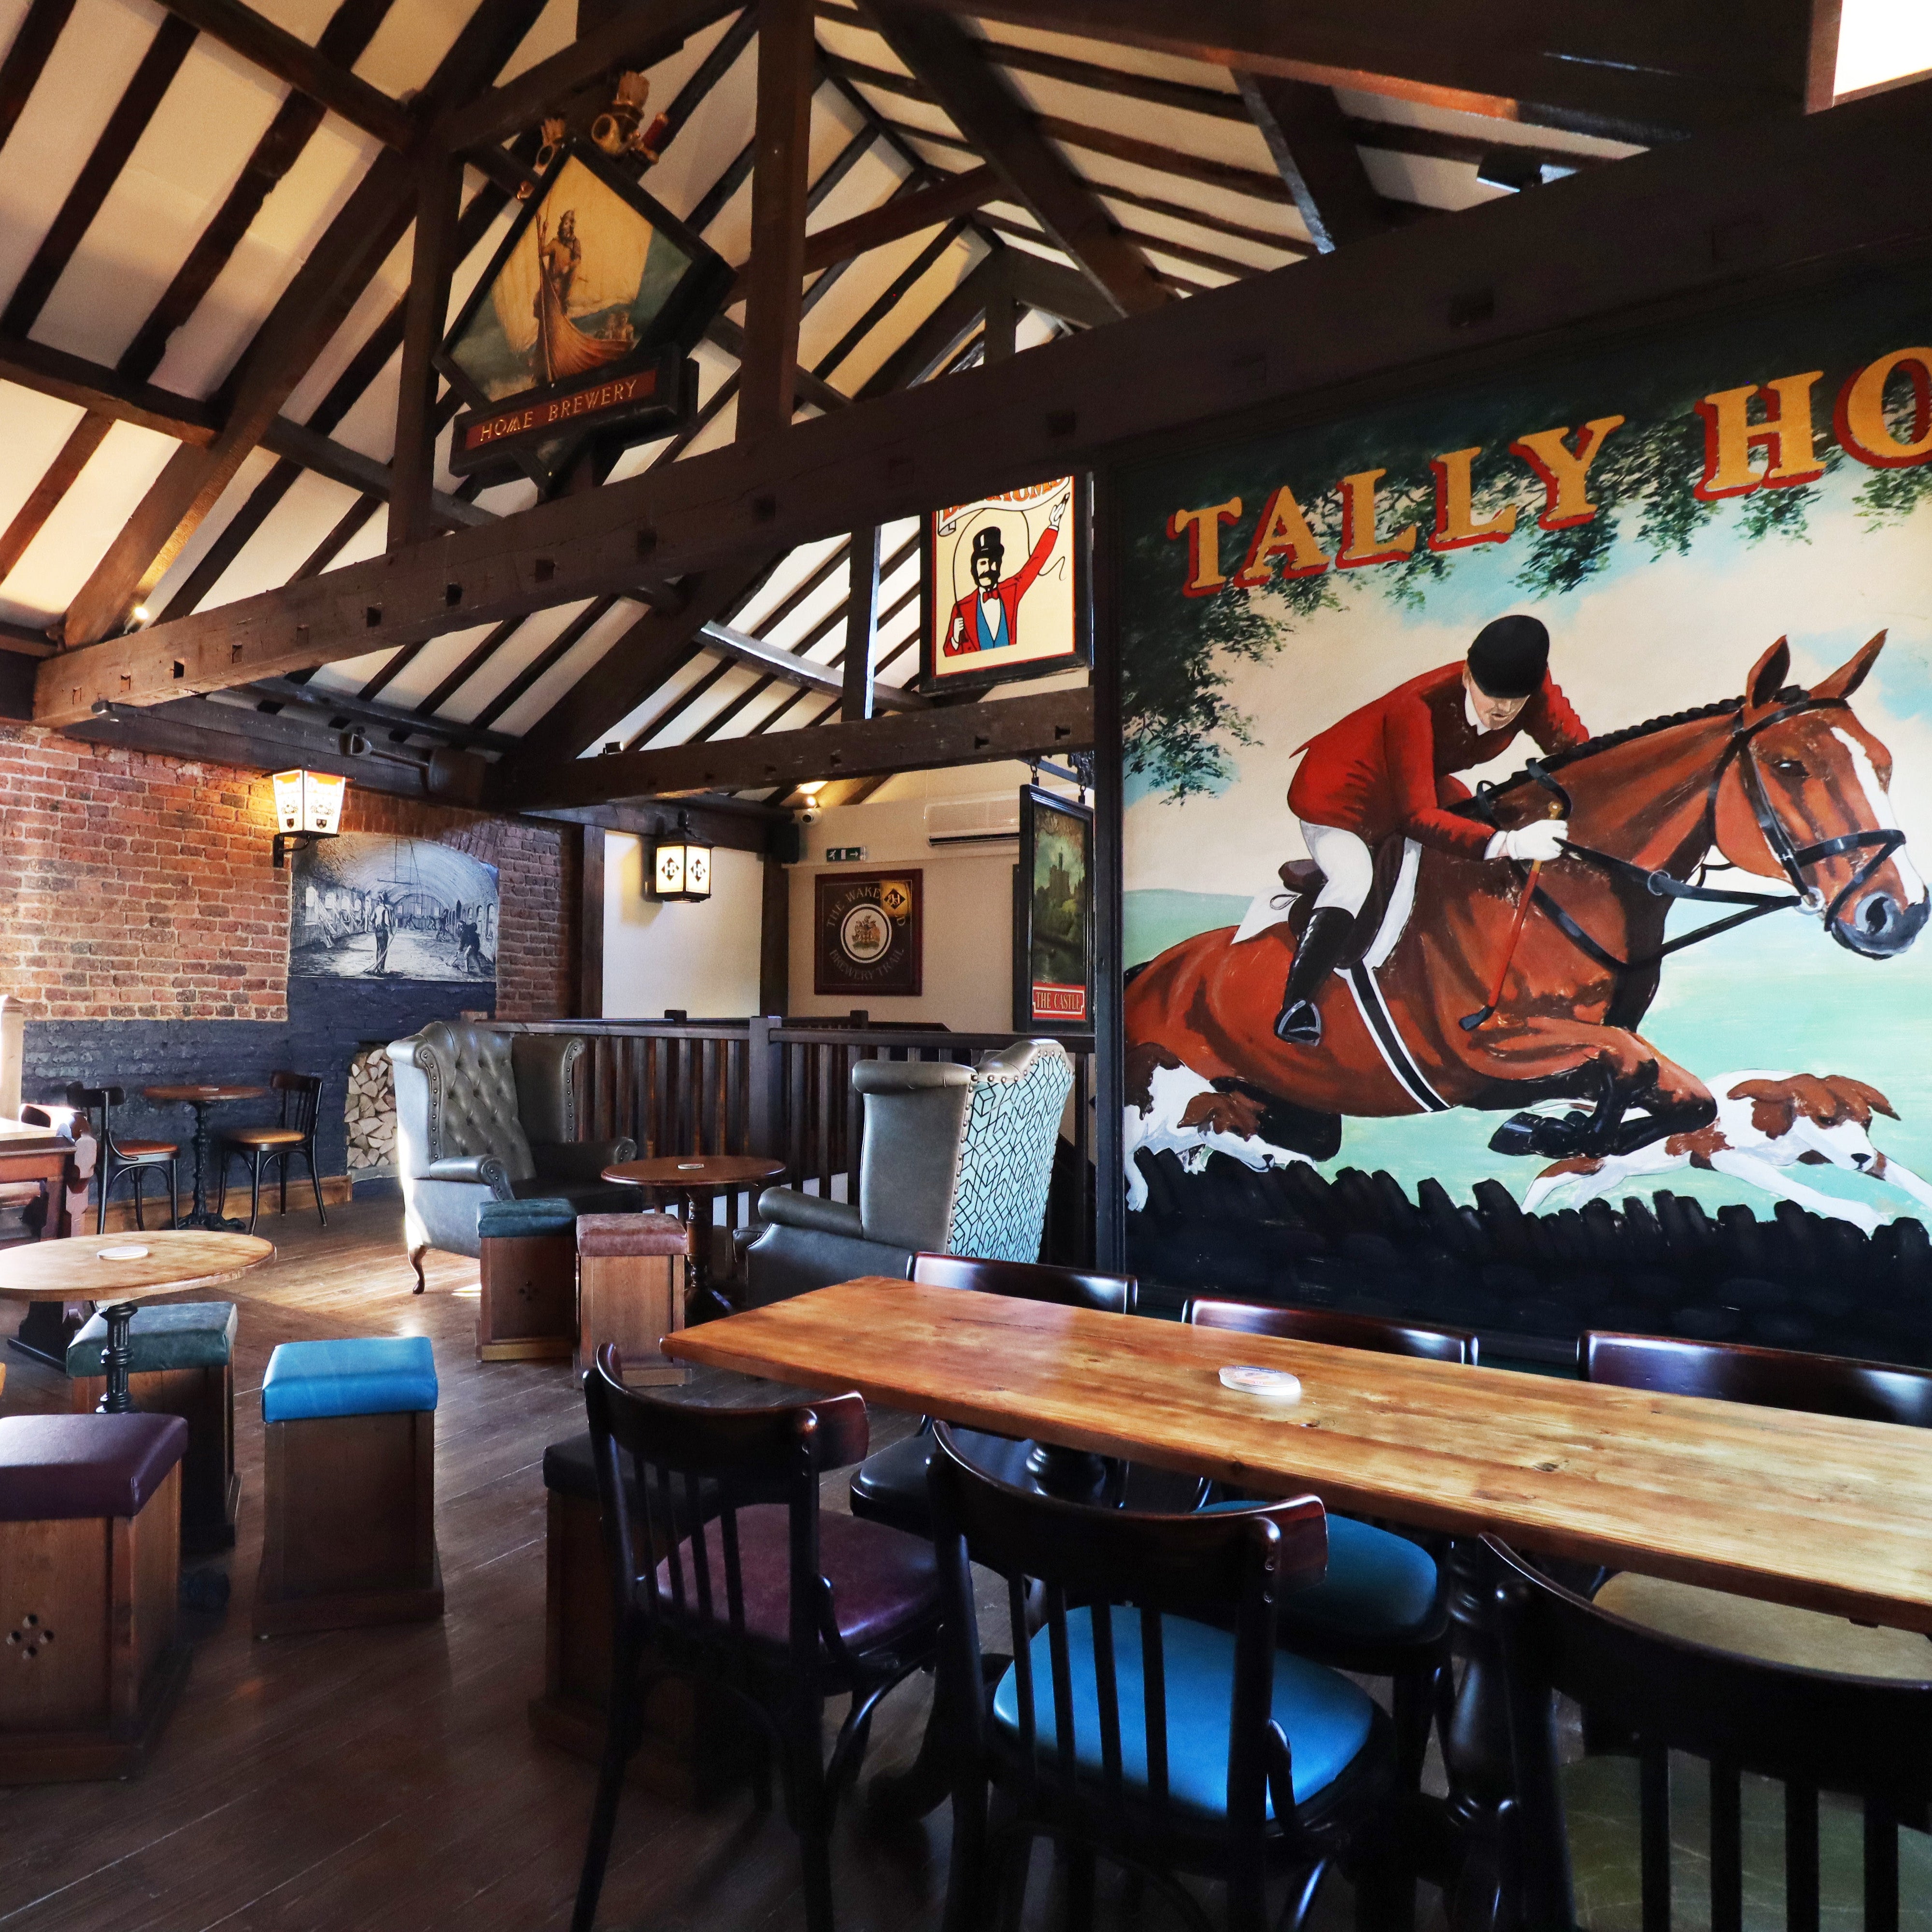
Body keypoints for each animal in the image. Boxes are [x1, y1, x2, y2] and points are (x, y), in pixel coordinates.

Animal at [1124, 635, 1927, 1176]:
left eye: (1884, 763)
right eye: (1789, 767)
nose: (1900, 913)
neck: (1571, 887)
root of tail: (1150, 973)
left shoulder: (1571, 1048)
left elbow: (1676, 1093)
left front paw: (1553, 1132)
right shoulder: (1484, 1049)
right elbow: (1633, 1066)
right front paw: (1548, 1132)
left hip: (1294, 1102)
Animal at [1522, 1070, 1932, 1234]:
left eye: (1867, 1122)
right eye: (1825, 1119)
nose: (1860, 1160)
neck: (1771, 1114)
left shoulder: (1827, 1152)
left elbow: (1901, 1173)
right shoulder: (1720, 1155)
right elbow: (1792, 1187)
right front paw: (1860, 1214)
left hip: (1612, 1175)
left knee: (1581, 1196)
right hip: (1589, 1161)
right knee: (1546, 1176)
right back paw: (1527, 1213)